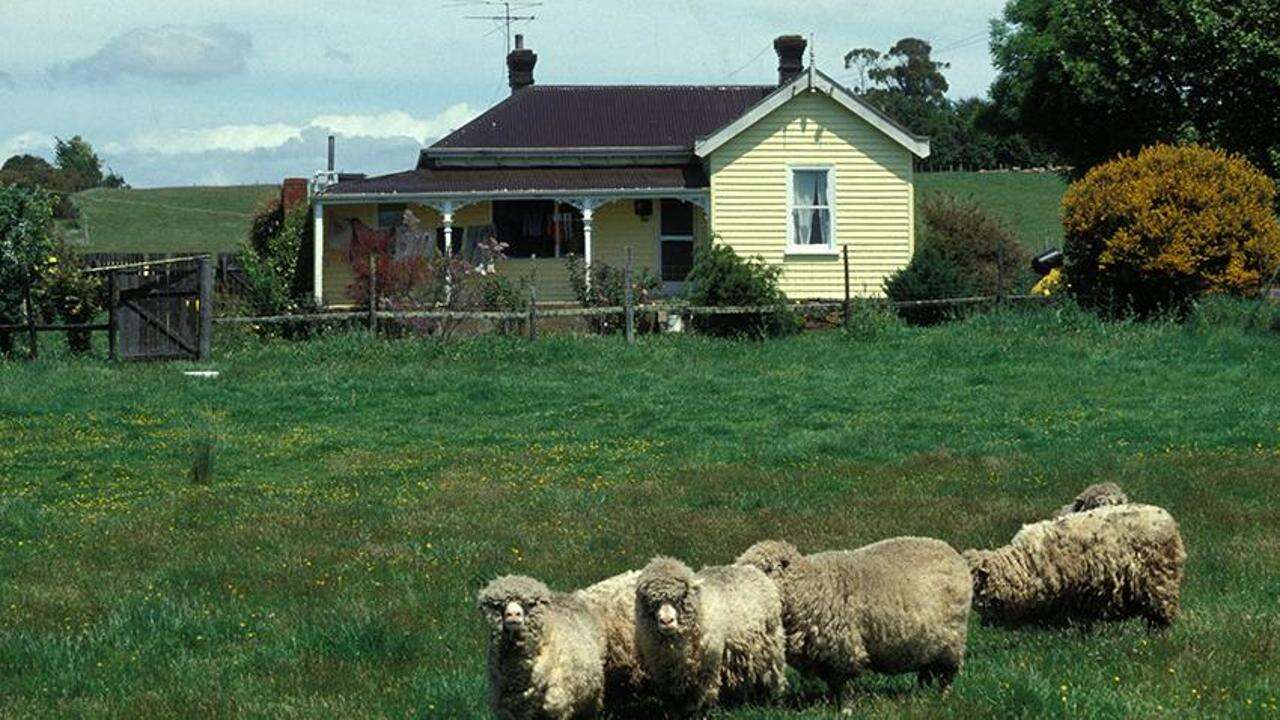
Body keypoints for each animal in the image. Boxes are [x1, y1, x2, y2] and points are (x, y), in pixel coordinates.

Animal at [632, 556, 783, 712]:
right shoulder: (664, 673)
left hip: (770, 643)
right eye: (648, 599)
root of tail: (751, 568)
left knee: (771, 672)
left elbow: (702, 697)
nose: (667, 621)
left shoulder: (706, 668)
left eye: (683, 595)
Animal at [732, 532, 967, 707]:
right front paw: (829, 703)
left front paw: (844, 707)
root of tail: (952, 553)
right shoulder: (825, 655)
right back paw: (922, 694)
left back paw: (942, 698)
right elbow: (833, 684)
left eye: (765, 568)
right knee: (926, 670)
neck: (808, 584)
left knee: (947, 675)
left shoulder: (843, 649)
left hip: (952, 641)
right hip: (930, 643)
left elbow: (842, 684)